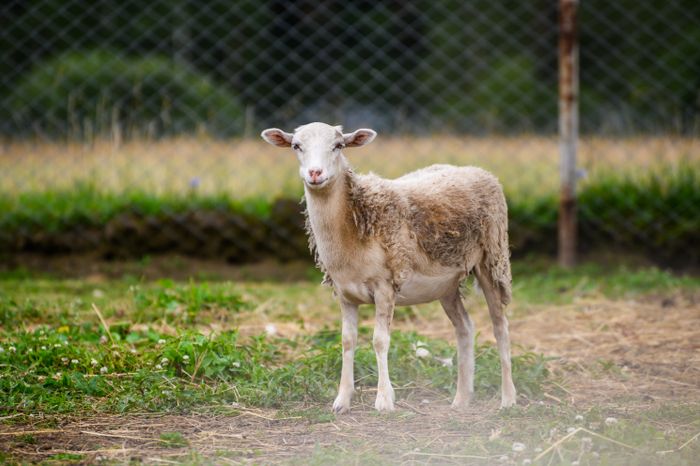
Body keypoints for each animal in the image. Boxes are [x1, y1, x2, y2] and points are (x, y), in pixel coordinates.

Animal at [261, 122, 516, 413]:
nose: (315, 173)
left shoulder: (385, 285)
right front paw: (342, 400)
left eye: (338, 145)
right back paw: (461, 398)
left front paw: (384, 400)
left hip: (492, 258)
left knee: (500, 326)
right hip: (447, 284)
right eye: (296, 146)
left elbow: (379, 340)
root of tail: (478, 170)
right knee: (465, 327)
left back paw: (508, 398)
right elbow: (347, 341)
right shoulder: (344, 292)